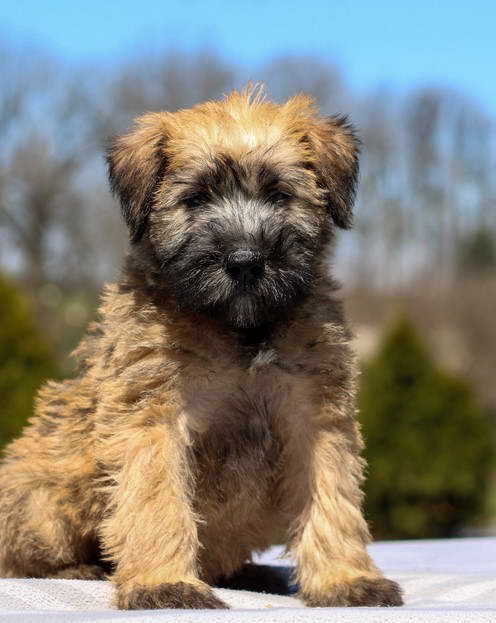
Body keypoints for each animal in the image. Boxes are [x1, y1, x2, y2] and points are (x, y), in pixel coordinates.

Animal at [0, 88, 404, 608]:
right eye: (195, 199)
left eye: (279, 194)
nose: (245, 261)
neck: (240, 331)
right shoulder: (152, 416)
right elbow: (157, 499)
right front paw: (163, 582)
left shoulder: (315, 415)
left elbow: (332, 498)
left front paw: (345, 579)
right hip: (44, 491)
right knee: (25, 557)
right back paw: (82, 570)